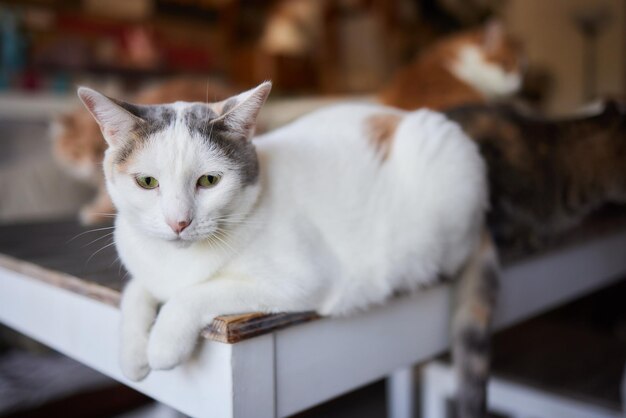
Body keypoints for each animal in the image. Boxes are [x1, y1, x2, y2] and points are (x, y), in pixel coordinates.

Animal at [79, 82, 498, 418]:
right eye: (147, 182)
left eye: (209, 181)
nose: (178, 222)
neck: (177, 262)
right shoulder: (144, 265)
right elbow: (135, 290)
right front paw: (132, 354)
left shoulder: (301, 281)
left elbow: (195, 293)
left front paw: (163, 344)